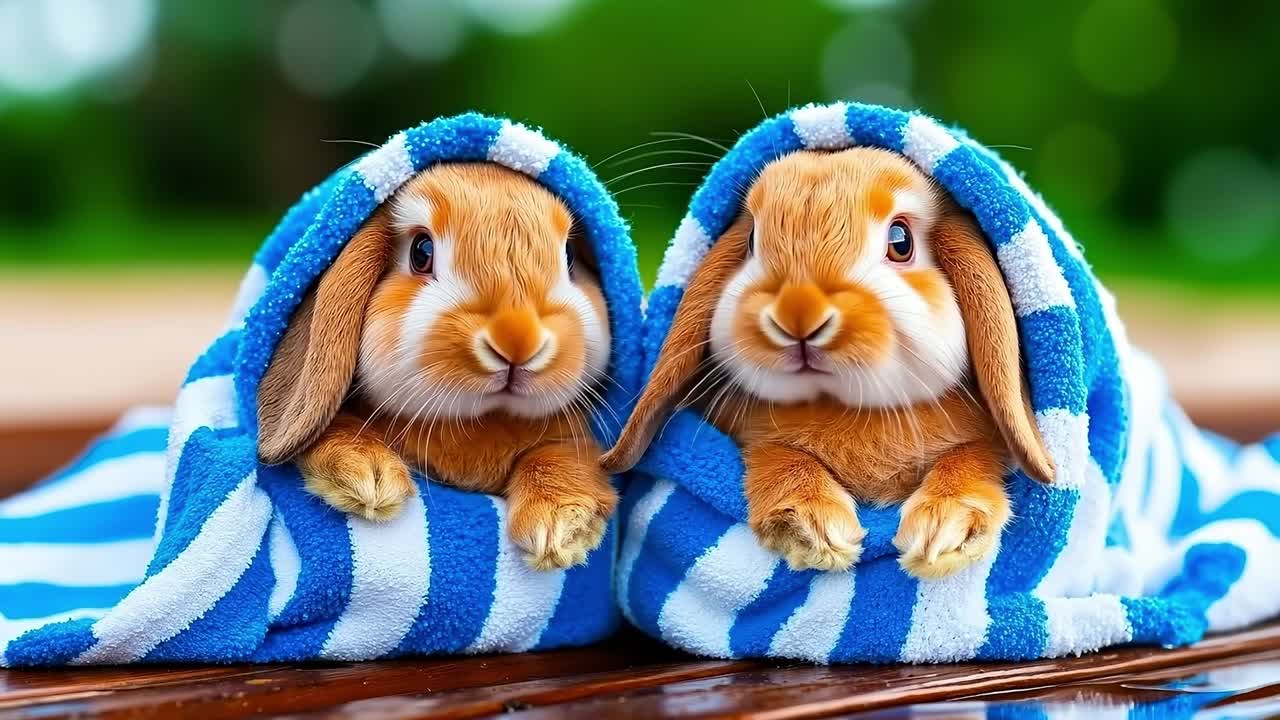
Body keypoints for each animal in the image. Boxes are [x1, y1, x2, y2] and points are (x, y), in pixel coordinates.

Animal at [256, 162, 618, 570]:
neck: (480, 421)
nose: (517, 340)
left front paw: (560, 528)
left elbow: (560, 456)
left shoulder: (572, 442)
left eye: (569, 256)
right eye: (421, 251)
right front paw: (368, 480)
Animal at [601, 147, 1055, 580]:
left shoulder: (985, 445)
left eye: (901, 240)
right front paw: (815, 530)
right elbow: (778, 454)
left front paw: (944, 532)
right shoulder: (761, 441)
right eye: (751, 241)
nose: (798, 314)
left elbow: (972, 457)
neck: (848, 409)